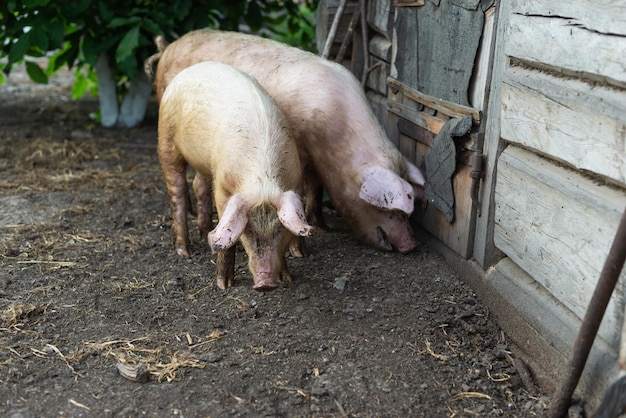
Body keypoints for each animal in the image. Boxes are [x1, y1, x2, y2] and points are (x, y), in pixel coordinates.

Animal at [151, 31, 424, 253]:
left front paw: (322, 226)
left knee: (200, 183)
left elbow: (316, 188)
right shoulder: (300, 152)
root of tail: (168, 47)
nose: (412, 245)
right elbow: (303, 191)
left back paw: (203, 227)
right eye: (387, 208)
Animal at [157, 61, 310, 290]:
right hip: (166, 140)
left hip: (204, 162)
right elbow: (226, 231)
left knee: (198, 186)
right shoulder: (223, 185)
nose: (265, 283)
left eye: (280, 230)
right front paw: (224, 285)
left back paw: (204, 232)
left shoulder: (295, 180)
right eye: (248, 229)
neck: (262, 181)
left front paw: (288, 278)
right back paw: (185, 251)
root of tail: (188, 70)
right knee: (178, 193)